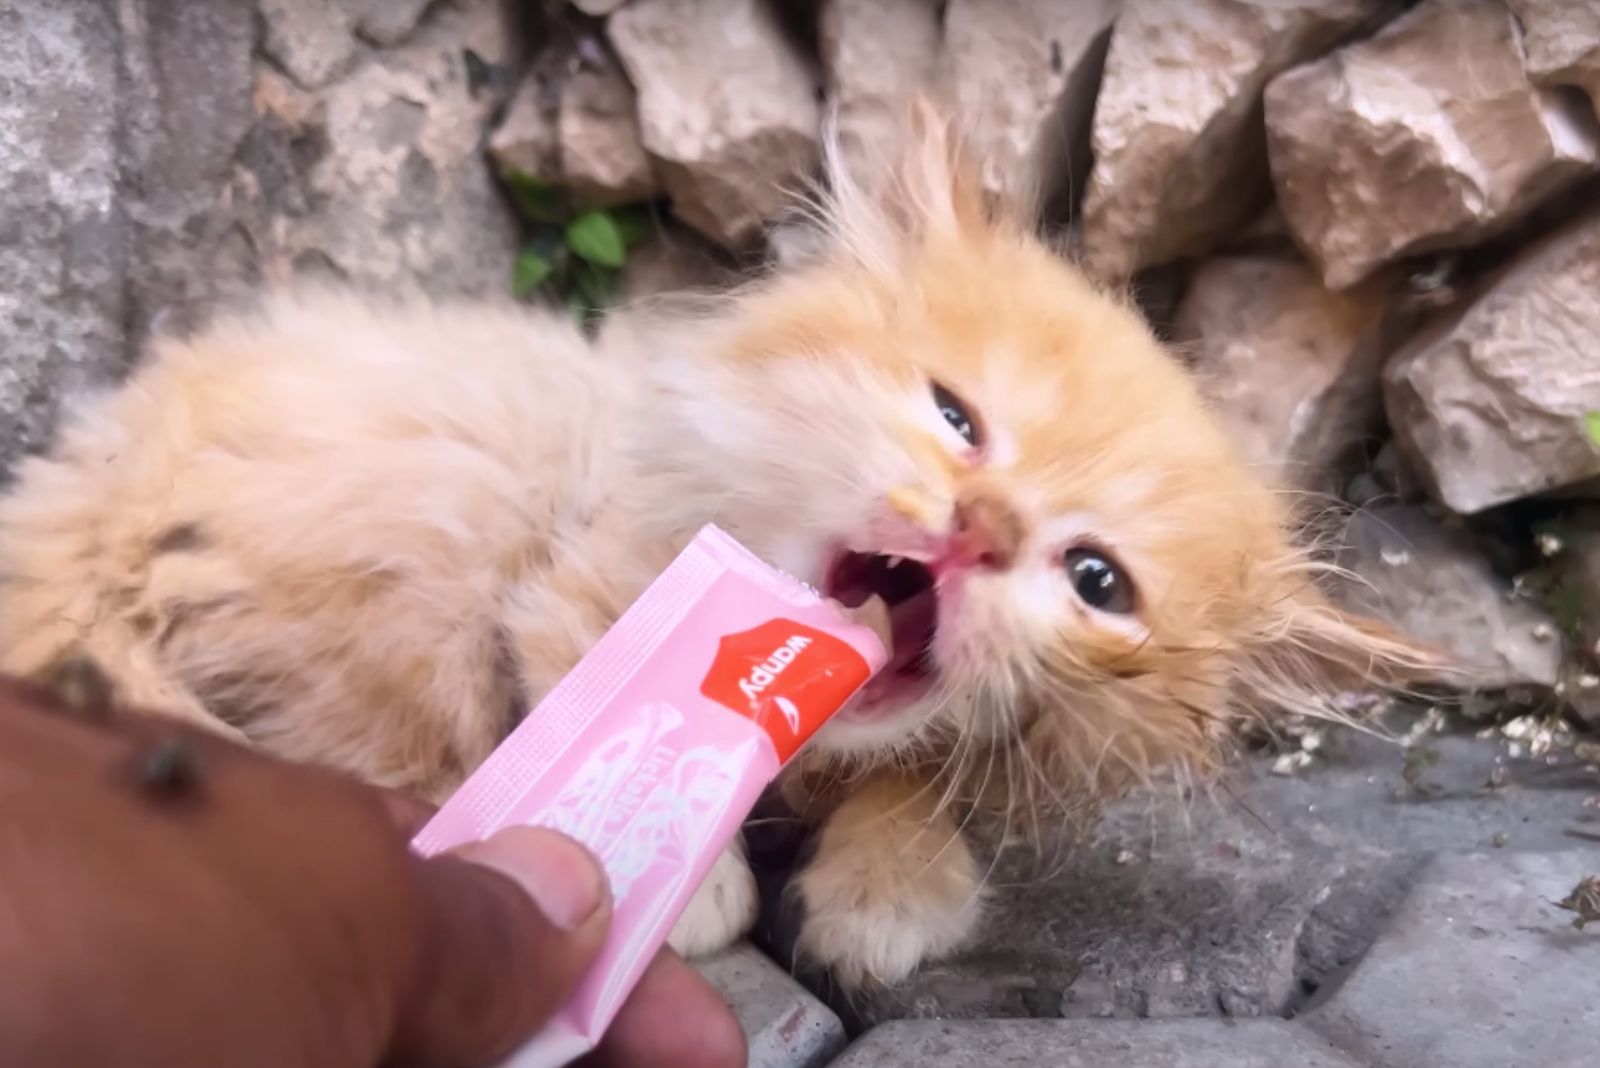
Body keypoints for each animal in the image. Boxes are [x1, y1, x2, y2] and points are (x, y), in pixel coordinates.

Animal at [0, 106, 1427, 984]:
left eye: (1097, 581)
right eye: (954, 417)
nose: (982, 527)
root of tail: (106, 461)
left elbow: (920, 775)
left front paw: (891, 883)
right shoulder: (575, 576)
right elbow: (604, 716)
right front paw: (676, 886)